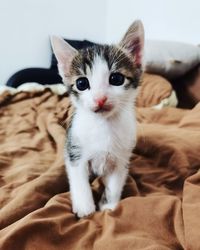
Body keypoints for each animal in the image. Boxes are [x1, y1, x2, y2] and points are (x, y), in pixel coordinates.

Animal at [51, 20, 144, 218]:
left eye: (116, 78)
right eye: (81, 83)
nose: (100, 98)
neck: (104, 125)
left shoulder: (122, 158)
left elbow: (114, 184)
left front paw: (108, 206)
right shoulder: (74, 150)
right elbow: (79, 181)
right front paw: (85, 208)